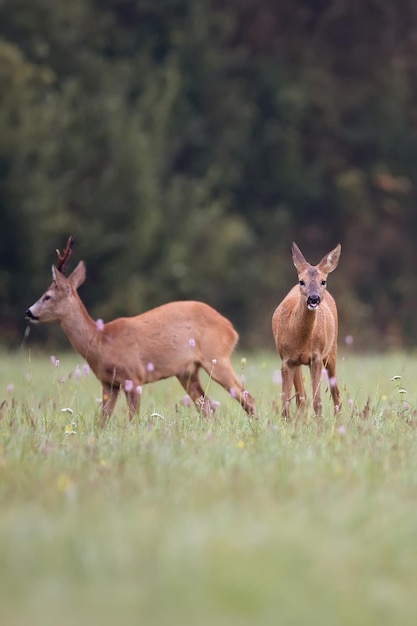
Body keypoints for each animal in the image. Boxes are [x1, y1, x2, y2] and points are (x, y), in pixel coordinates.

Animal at [26, 236, 255, 422]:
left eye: (47, 296)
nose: (29, 312)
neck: (101, 341)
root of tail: (231, 328)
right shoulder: (109, 383)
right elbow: (102, 420)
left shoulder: (134, 376)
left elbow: (132, 419)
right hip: (187, 371)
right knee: (208, 407)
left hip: (216, 358)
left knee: (246, 397)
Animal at [270, 241, 342, 416]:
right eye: (301, 281)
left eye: (323, 281)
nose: (313, 298)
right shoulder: (286, 360)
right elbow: (286, 403)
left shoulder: (316, 357)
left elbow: (318, 402)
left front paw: (319, 422)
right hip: (297, 363)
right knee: (301, 397)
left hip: (332, 350)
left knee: (335, 392)